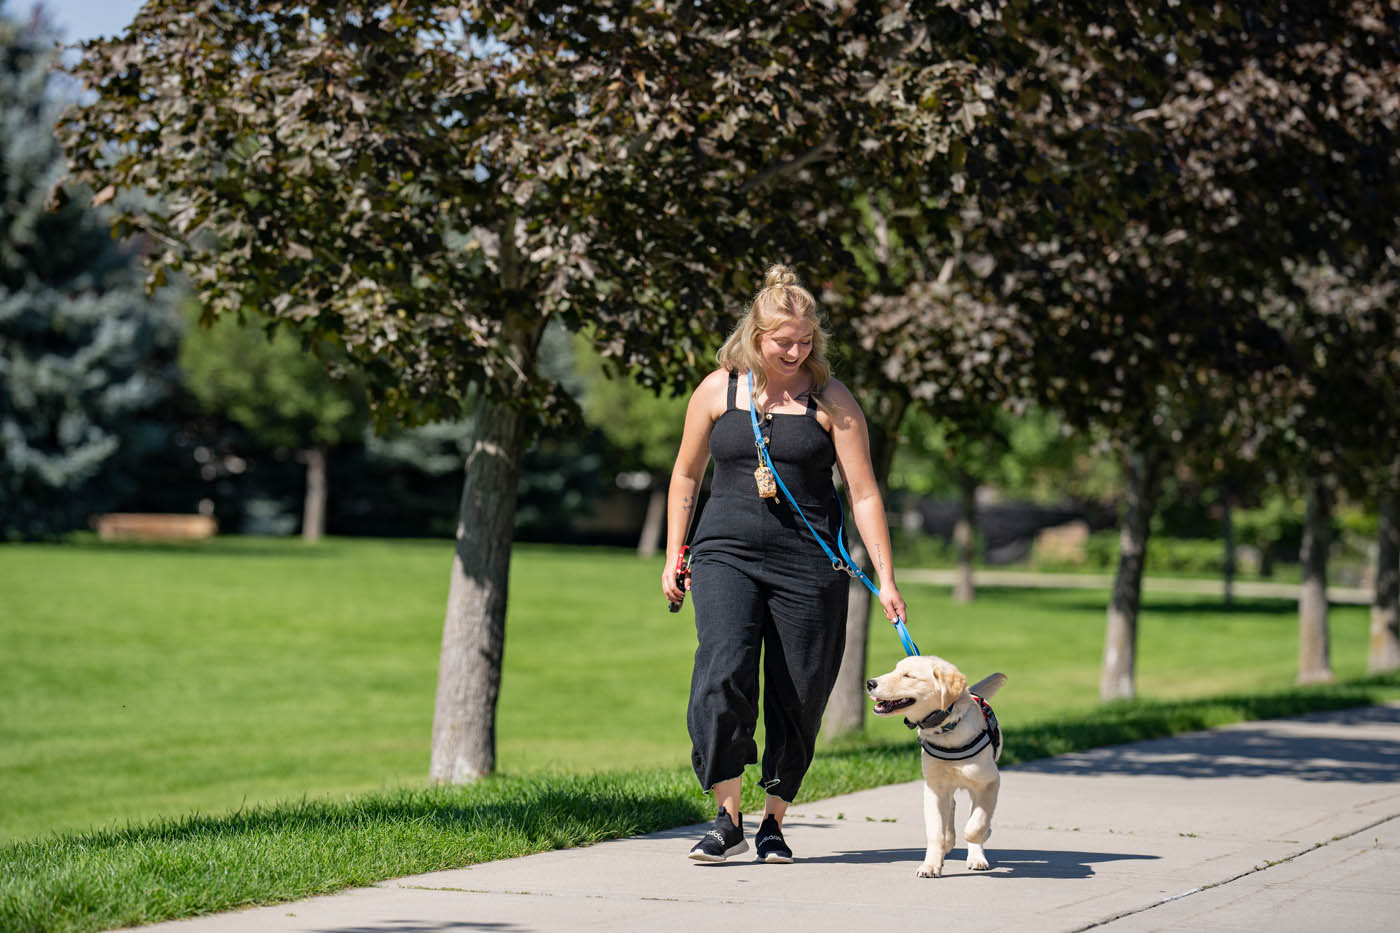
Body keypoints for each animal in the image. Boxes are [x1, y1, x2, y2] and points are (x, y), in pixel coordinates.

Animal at [862, 650, 1008, 874]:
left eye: (908, 676)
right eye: (895, 670)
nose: (870, 683)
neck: (946, 729)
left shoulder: (989, 783)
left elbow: (976, 825)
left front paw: (981, 835)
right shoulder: (934, 788)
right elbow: (936, 831)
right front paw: (931, 865)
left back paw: (977, 857)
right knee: (952, 807)